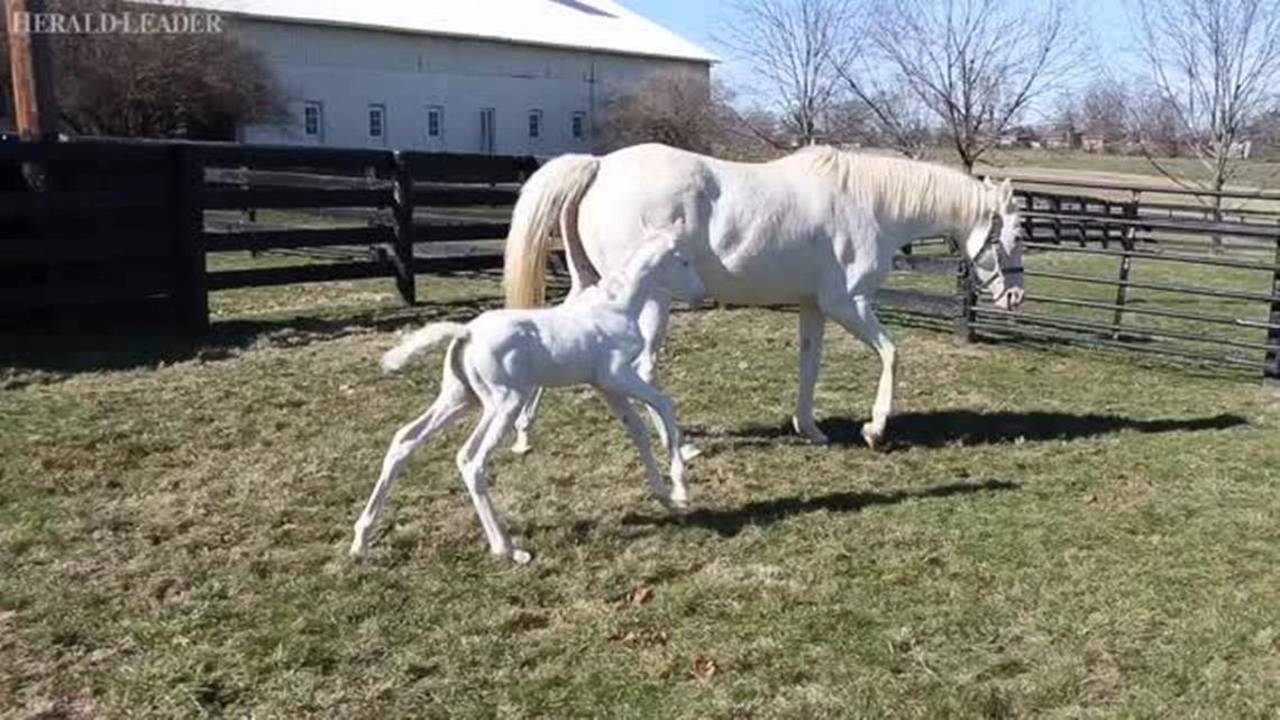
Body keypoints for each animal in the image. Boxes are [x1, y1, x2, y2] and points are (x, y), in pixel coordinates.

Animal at [350, 219, 706, 561]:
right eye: (684, 261)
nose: (700, 294)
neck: (616, 306)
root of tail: (466, 333)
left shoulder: (606, 386)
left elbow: (638, 431)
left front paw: (667, 497)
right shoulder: (618, 375)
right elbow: (664, 403)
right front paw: (681, 487)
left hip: (460, 399)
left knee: (405, 440)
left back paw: (361, 539)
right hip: (504, 402)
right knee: (471, 460)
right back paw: (507, 549)